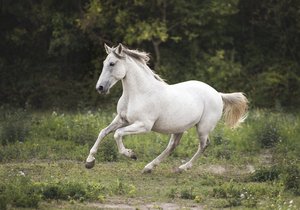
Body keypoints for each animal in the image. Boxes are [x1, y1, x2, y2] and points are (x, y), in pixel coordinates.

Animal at [85, 43, 248, 173]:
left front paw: (131, 154)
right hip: (179, 128)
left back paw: (183, 168)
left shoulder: (144, 126)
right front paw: (89, 162)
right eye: (104, 63)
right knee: (172, 146)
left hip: (203, 128)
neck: (139, 93)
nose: (100, 88)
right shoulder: (121, 119)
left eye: (112, 63)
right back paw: (149, 167)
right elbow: (103, 132)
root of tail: (218, 94)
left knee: (203, 145)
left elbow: (117, 134)